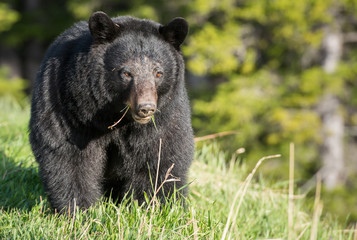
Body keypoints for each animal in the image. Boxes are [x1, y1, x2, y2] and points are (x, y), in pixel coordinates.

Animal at [28, 11, 193, 214]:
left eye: (159, 73)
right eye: (126, 73)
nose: (146, 107)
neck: (114, 116)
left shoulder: (166, 117)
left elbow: (160, 159)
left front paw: (153, 208)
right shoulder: (69, 109)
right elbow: (69, 157)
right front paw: (78, 210)